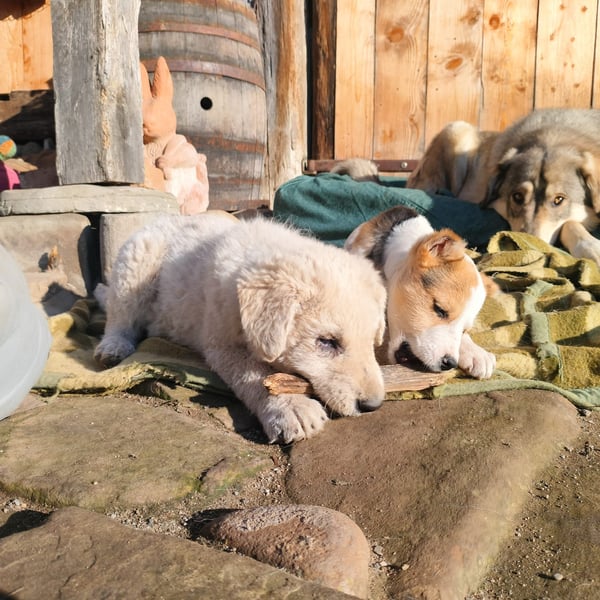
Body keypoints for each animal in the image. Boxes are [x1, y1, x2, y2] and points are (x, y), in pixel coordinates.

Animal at [94, 212, 387, 444]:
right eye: (326, 342)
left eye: (370, 343)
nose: (372, 406)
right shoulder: (221, 342)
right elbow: (255, 373)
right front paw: (291, 408)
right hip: (137, 261)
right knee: (119, 313)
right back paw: (113, 346)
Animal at [406, 108, 600, 265]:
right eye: (517, 197)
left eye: (559, 199)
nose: (528, 248)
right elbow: (571, 223)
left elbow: (571, 222)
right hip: (456, 130)